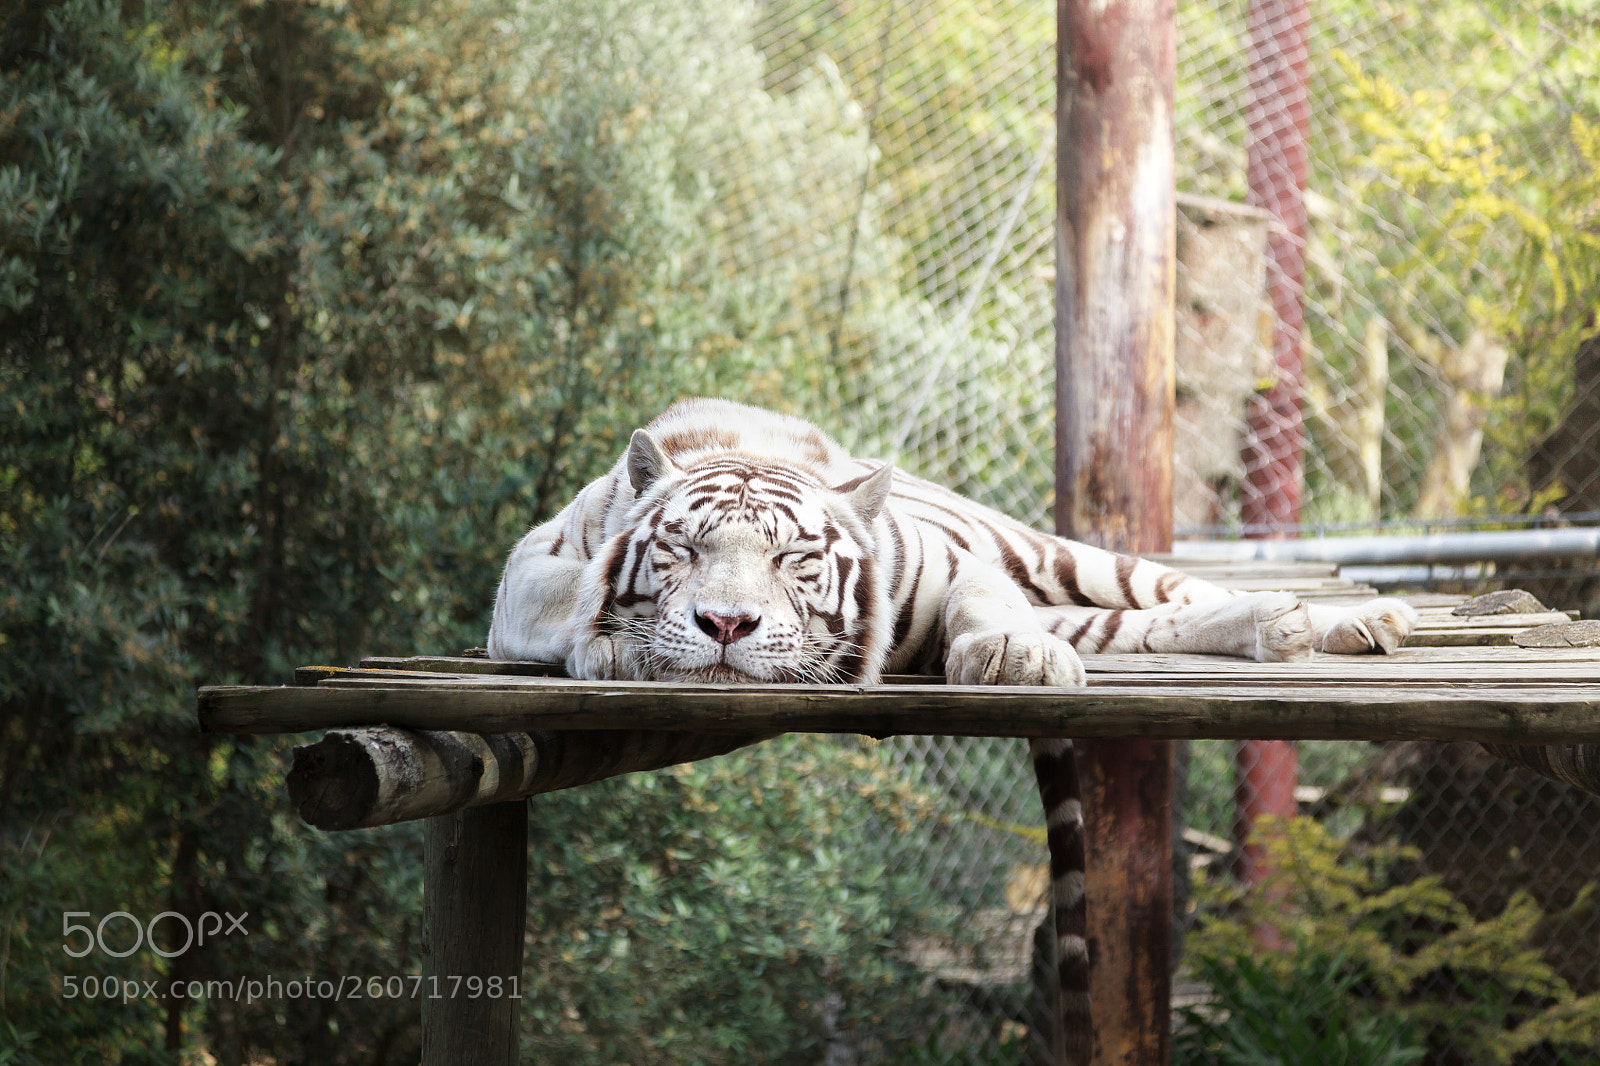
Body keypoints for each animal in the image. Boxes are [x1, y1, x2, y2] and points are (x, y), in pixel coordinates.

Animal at [487, 397, 1418, 1063]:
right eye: (680, 549)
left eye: (794, 559)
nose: (724, 624)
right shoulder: (530, 565)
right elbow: (571, 591)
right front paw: (619, 641)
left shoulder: (960, 570)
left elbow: (985, 601)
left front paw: (1012, 655)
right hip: (1085, 608)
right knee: (1137, 627)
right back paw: (1296, 627)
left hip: (1058, 555)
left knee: (1169, 591)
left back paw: (1344, 620)